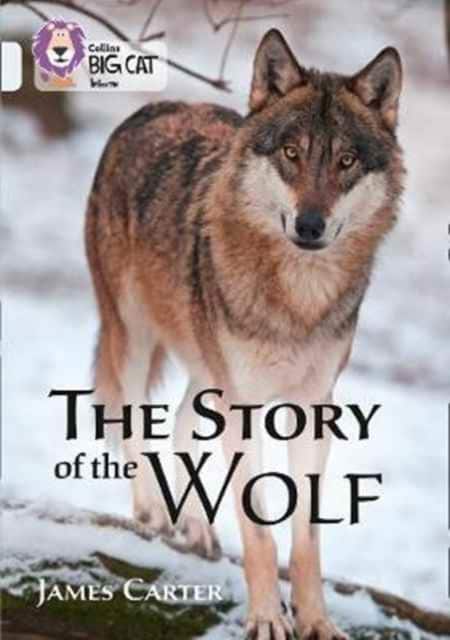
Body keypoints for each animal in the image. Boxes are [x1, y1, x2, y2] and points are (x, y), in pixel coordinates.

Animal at [85, 29, 404, 640]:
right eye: (291, 153)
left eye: (346, 160)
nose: (310, 225)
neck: (298, 299)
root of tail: (153, 107)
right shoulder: (246, 404)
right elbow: (259, 530)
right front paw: (265, 618)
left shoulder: (313, 407)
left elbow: (306, 538)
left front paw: (316, 620)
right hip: (135, 338)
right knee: (135, 419)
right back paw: (153, 511)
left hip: (206, 370)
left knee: (181, 425)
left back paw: (193, 524)